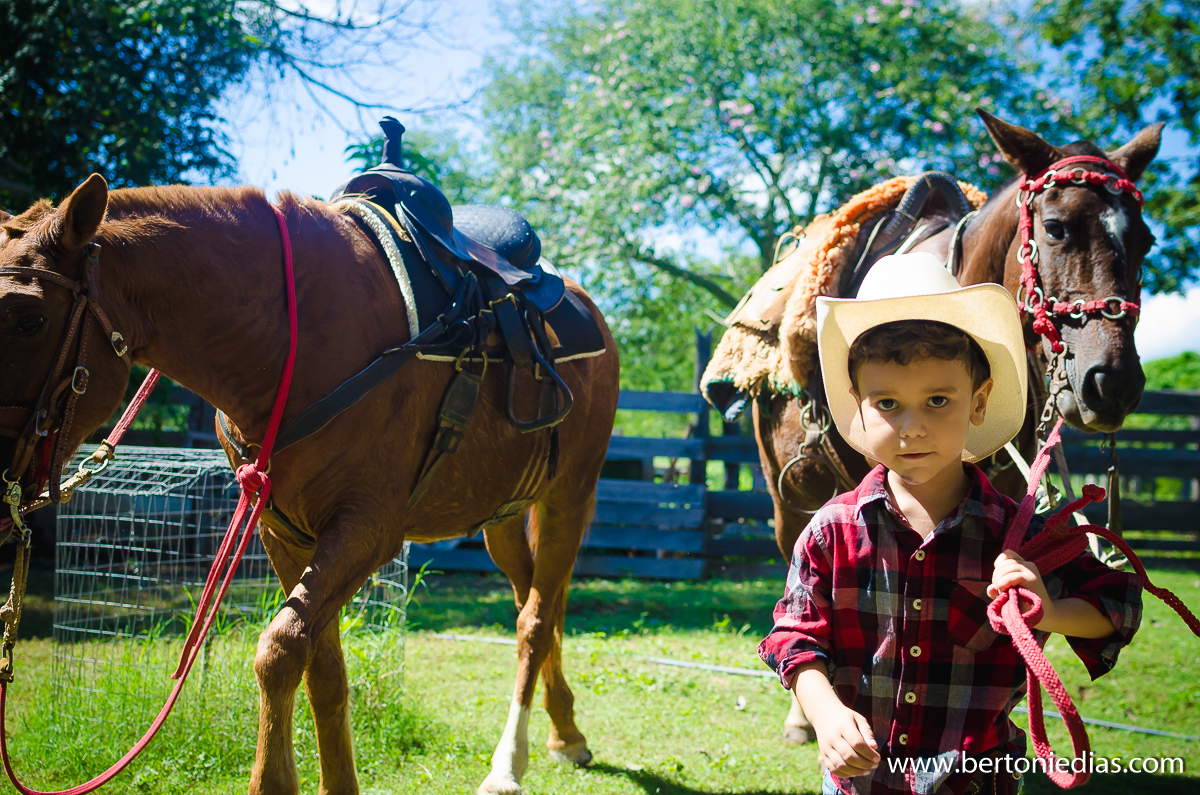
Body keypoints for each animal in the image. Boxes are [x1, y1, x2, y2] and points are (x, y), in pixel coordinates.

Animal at [0, 175, 619, 795]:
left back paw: (509, 761)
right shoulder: (285, 533)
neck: (286, 347)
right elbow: (322, 667)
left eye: (28, 319)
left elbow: (279, 651)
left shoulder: (366, 530)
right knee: (535, 601)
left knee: (536, 620)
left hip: (569, 496)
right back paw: (565, 728)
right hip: (501, 513)